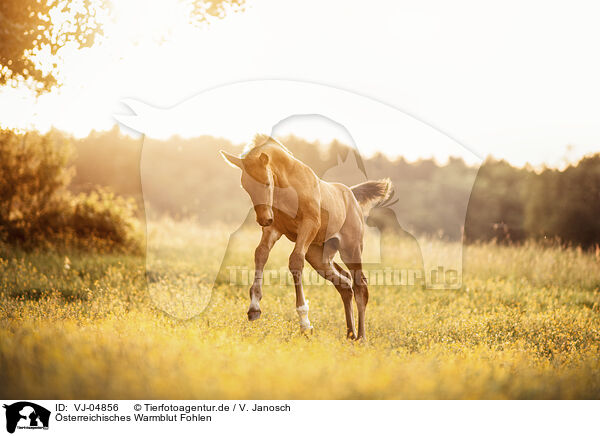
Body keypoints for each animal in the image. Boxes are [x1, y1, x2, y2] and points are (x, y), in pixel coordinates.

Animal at [221, 135, 394, 338]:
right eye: (245, 186)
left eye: (267, 183)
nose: (263, 219)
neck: (289, 184)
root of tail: (352, 195)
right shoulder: (275, 229)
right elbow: (260, 253)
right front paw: (254, 308)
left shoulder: (309, 224)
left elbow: (295, 261)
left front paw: (305, 323)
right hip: (318, 255)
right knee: (344, 284)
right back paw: (350, 335)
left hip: (351, 248)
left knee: (360, 286)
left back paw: (362, 338)